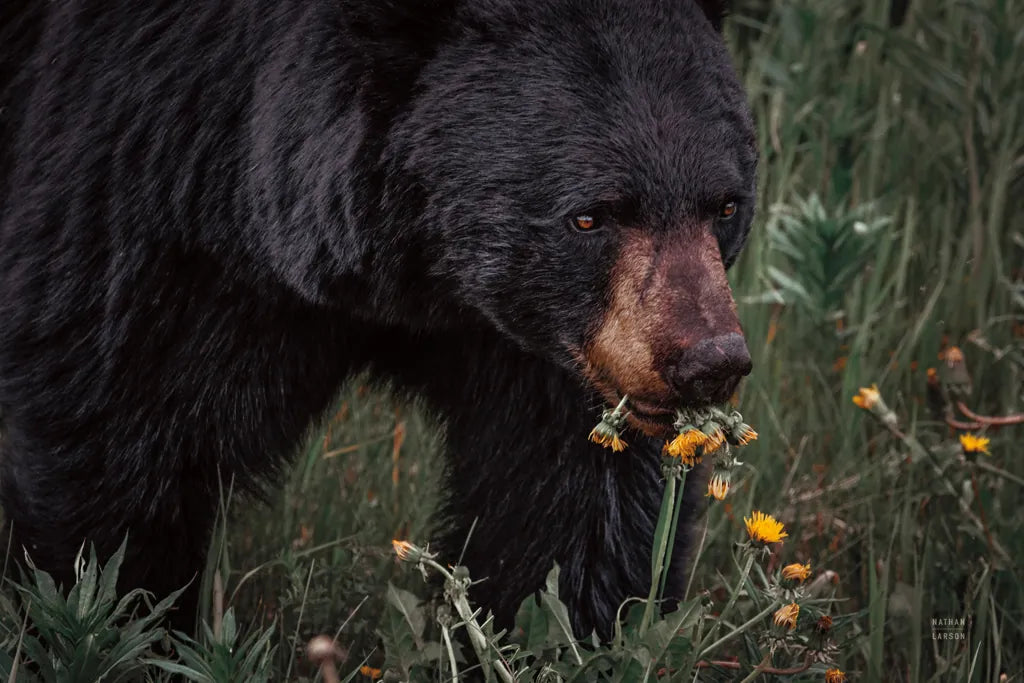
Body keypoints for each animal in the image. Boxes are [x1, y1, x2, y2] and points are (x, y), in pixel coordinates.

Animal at [0, 0, 756, 639]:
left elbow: (566, 490)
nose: (709, 360)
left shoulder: (541, 338)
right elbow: (123, 431)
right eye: (591, 216)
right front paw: (115, 620)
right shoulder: (152, 181)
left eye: (724, 204)